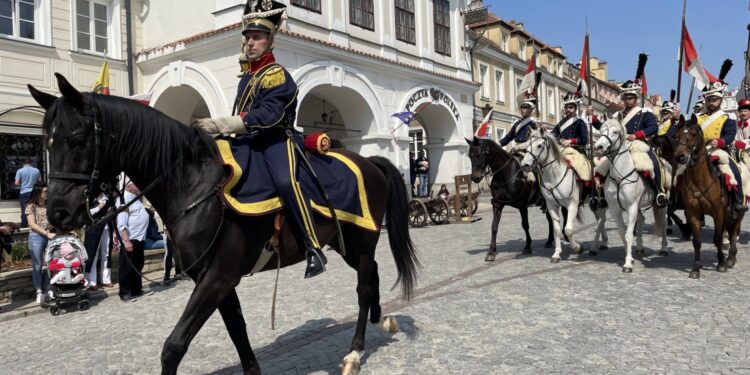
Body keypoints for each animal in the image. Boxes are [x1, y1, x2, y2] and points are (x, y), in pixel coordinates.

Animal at [29, 74, 420, 375]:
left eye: (77, 139)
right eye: (47, 142)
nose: (59, 213)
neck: (192, 183)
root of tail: (368, 161)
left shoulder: (217, 277)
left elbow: (174, 345)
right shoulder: (215, 278)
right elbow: (238, 334)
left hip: (360, 241)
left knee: (364, 286)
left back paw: (355, 350)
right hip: (345, 244)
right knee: (373, 277)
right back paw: (382, 321)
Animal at [524, 134, 588, 262]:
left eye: (539, 145)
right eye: (528, 144)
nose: (525, 165)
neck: (555, 176)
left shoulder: (572, 205)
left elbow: (568, 230)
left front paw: (577, 248)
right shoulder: (552, 205)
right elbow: (557, 230)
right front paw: (557, 253)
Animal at [596, 119, 672, 272]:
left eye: (615, 132)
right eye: (601, 130)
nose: (599, 147)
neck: (619, 175)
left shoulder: (631, 208)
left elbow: (628, 234)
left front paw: (627, 264)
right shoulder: (615, 210)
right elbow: (622, 234)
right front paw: (629, 258)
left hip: (661, 204)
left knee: (663, 222)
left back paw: (664, 248)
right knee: (642, 219)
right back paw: (640, 247)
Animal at [672, 116, 744, 278]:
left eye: (693, 134)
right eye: (676, 136)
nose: (680, 157)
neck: (700, 180)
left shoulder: (718, 213)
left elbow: (717, 239)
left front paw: (721, 263)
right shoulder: (693, 213)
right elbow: (697, 241)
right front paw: (696, 268)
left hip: (736, 213)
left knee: (734, 232)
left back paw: (730, 258)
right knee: (730, 231)